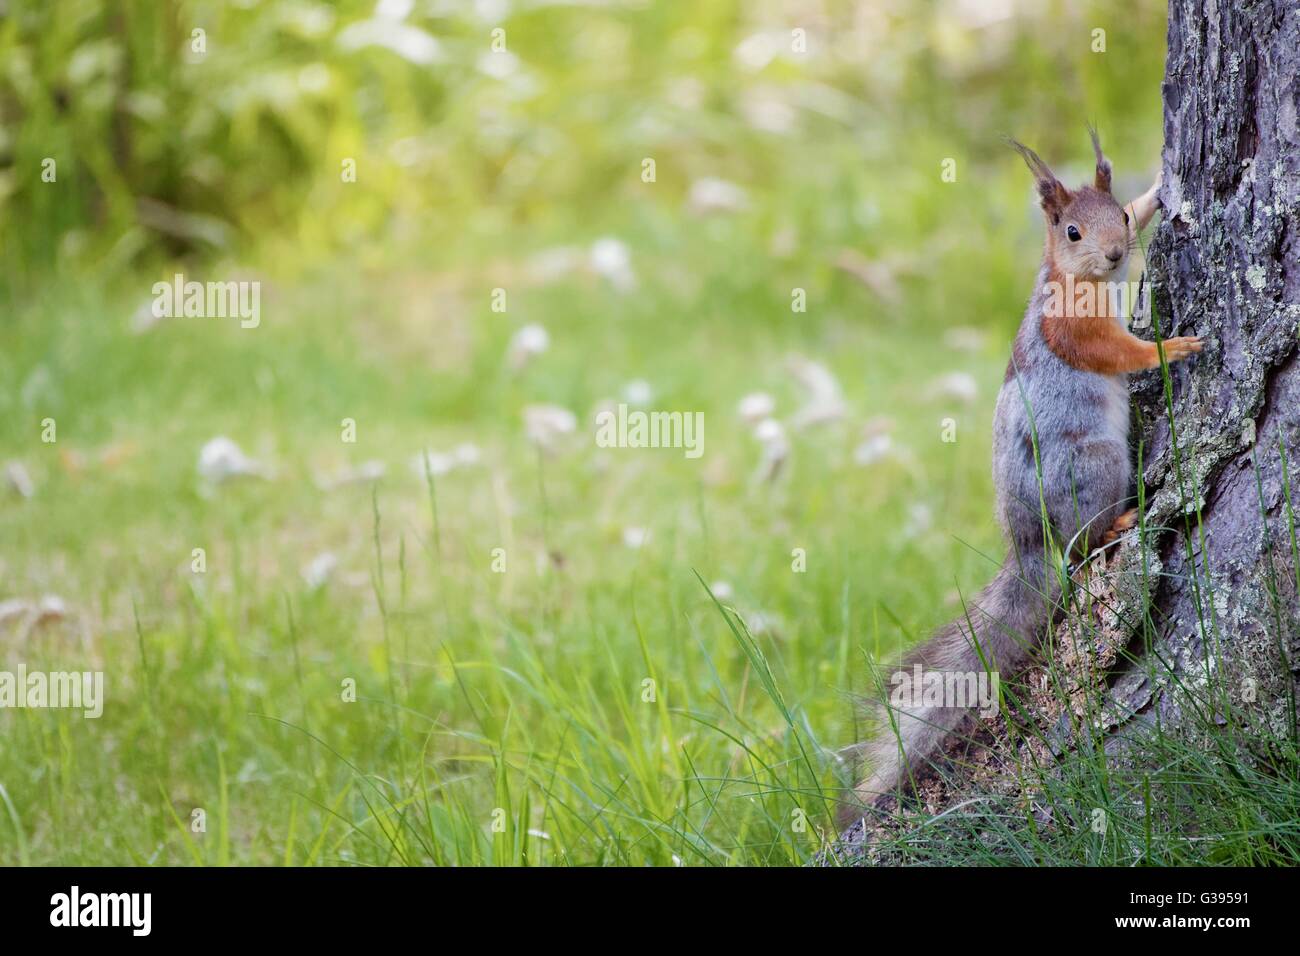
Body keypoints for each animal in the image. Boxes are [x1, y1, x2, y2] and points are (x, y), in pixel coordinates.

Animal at [847, 125, 1201, 816]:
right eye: (1071, 231)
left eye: (1119, 218)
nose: (1116, 255)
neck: (1072, 278)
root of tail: (1031, 538)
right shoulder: (1072, 327)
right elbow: (1116, 351)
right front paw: (1172, 348)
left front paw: (1156, 192)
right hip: (1096, 465)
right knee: (1082, 544)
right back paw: (1117, 523)